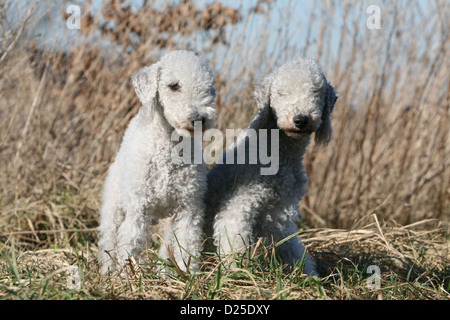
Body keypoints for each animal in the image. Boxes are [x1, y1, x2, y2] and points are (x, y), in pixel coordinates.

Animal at [98, 50, 216, 276]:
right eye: (173, 86)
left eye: (208, 88)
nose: (199, 118)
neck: (168, 149)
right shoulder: (137, 209)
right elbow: (130, 245)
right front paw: (130, 277)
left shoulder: (188, 209)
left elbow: (187, 245)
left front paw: (188, 275)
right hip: (114, 206)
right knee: (108, 239)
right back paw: (108, 272)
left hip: (167, 219)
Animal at [204, 57, 338, 276]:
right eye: (281, 93)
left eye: (316, 92)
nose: (301, 119)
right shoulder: (238, 208)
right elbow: (235, 243)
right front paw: (239, 274)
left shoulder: (279, 214)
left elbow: (291, 248)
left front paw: (309, 276)